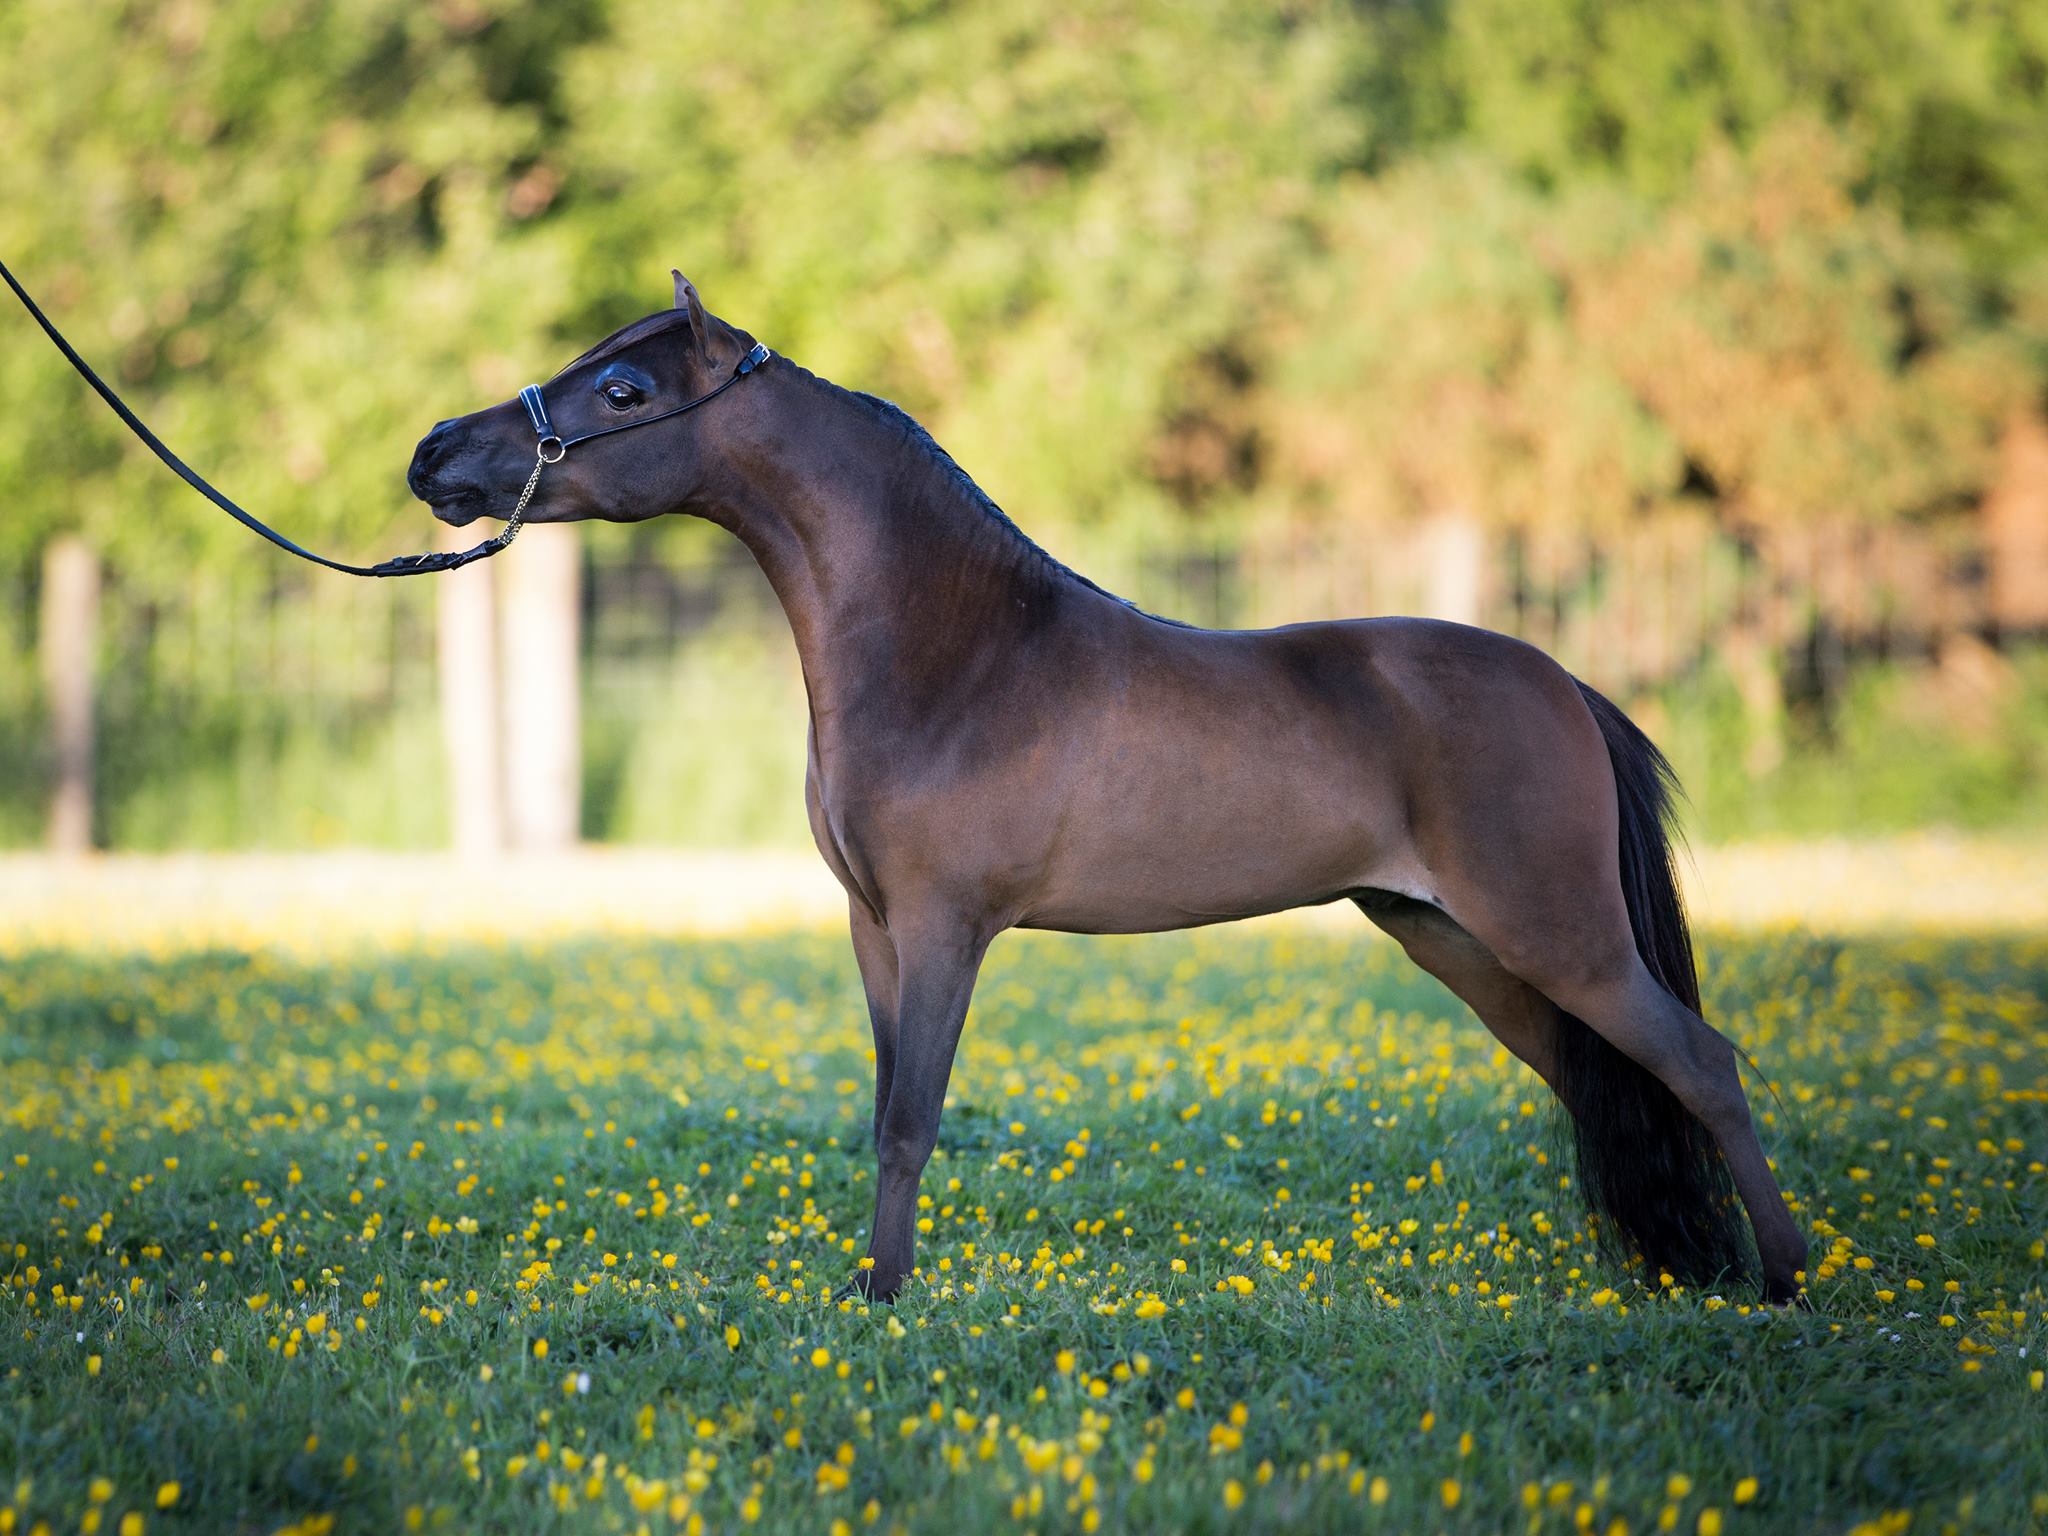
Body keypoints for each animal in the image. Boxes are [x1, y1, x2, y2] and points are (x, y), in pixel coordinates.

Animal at [407, 273, 1808, 1306]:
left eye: (624, 387)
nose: (435, 454)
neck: (960, 655)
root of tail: (1562, 684)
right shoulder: (873, 929)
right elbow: (881, 1109)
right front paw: (871, 1286)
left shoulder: (945, 928)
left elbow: (911, 1117)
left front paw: (884, 1304)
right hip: (1456, 941)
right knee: (1595, 1078)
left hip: (1552, 934)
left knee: (1699, 1064)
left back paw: (1785, 1281)